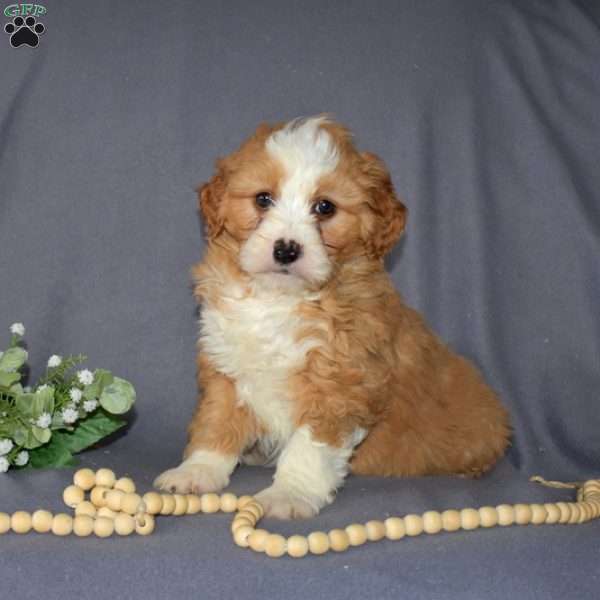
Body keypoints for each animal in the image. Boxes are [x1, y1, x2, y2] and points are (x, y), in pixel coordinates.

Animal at [156, 115, 510, 516]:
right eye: (263, 199)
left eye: (325, 207)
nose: (286, 250)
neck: (280, 300)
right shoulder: (226, 365)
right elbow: (216, 422)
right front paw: (197, 471)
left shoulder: (340, 385)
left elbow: (309, 449)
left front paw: (289, 494)